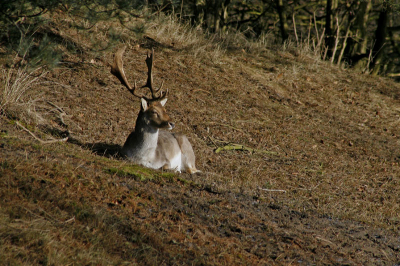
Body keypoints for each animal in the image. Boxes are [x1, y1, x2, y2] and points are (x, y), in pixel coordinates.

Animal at [110, 46, 199, 175]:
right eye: (154, 111)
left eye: (165, 109)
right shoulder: (124, 155)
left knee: (193, 169)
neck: (144, 157)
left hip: (188, 154)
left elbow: (165, 167)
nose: (172, 123)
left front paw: (176, 170)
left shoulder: (166, 160)